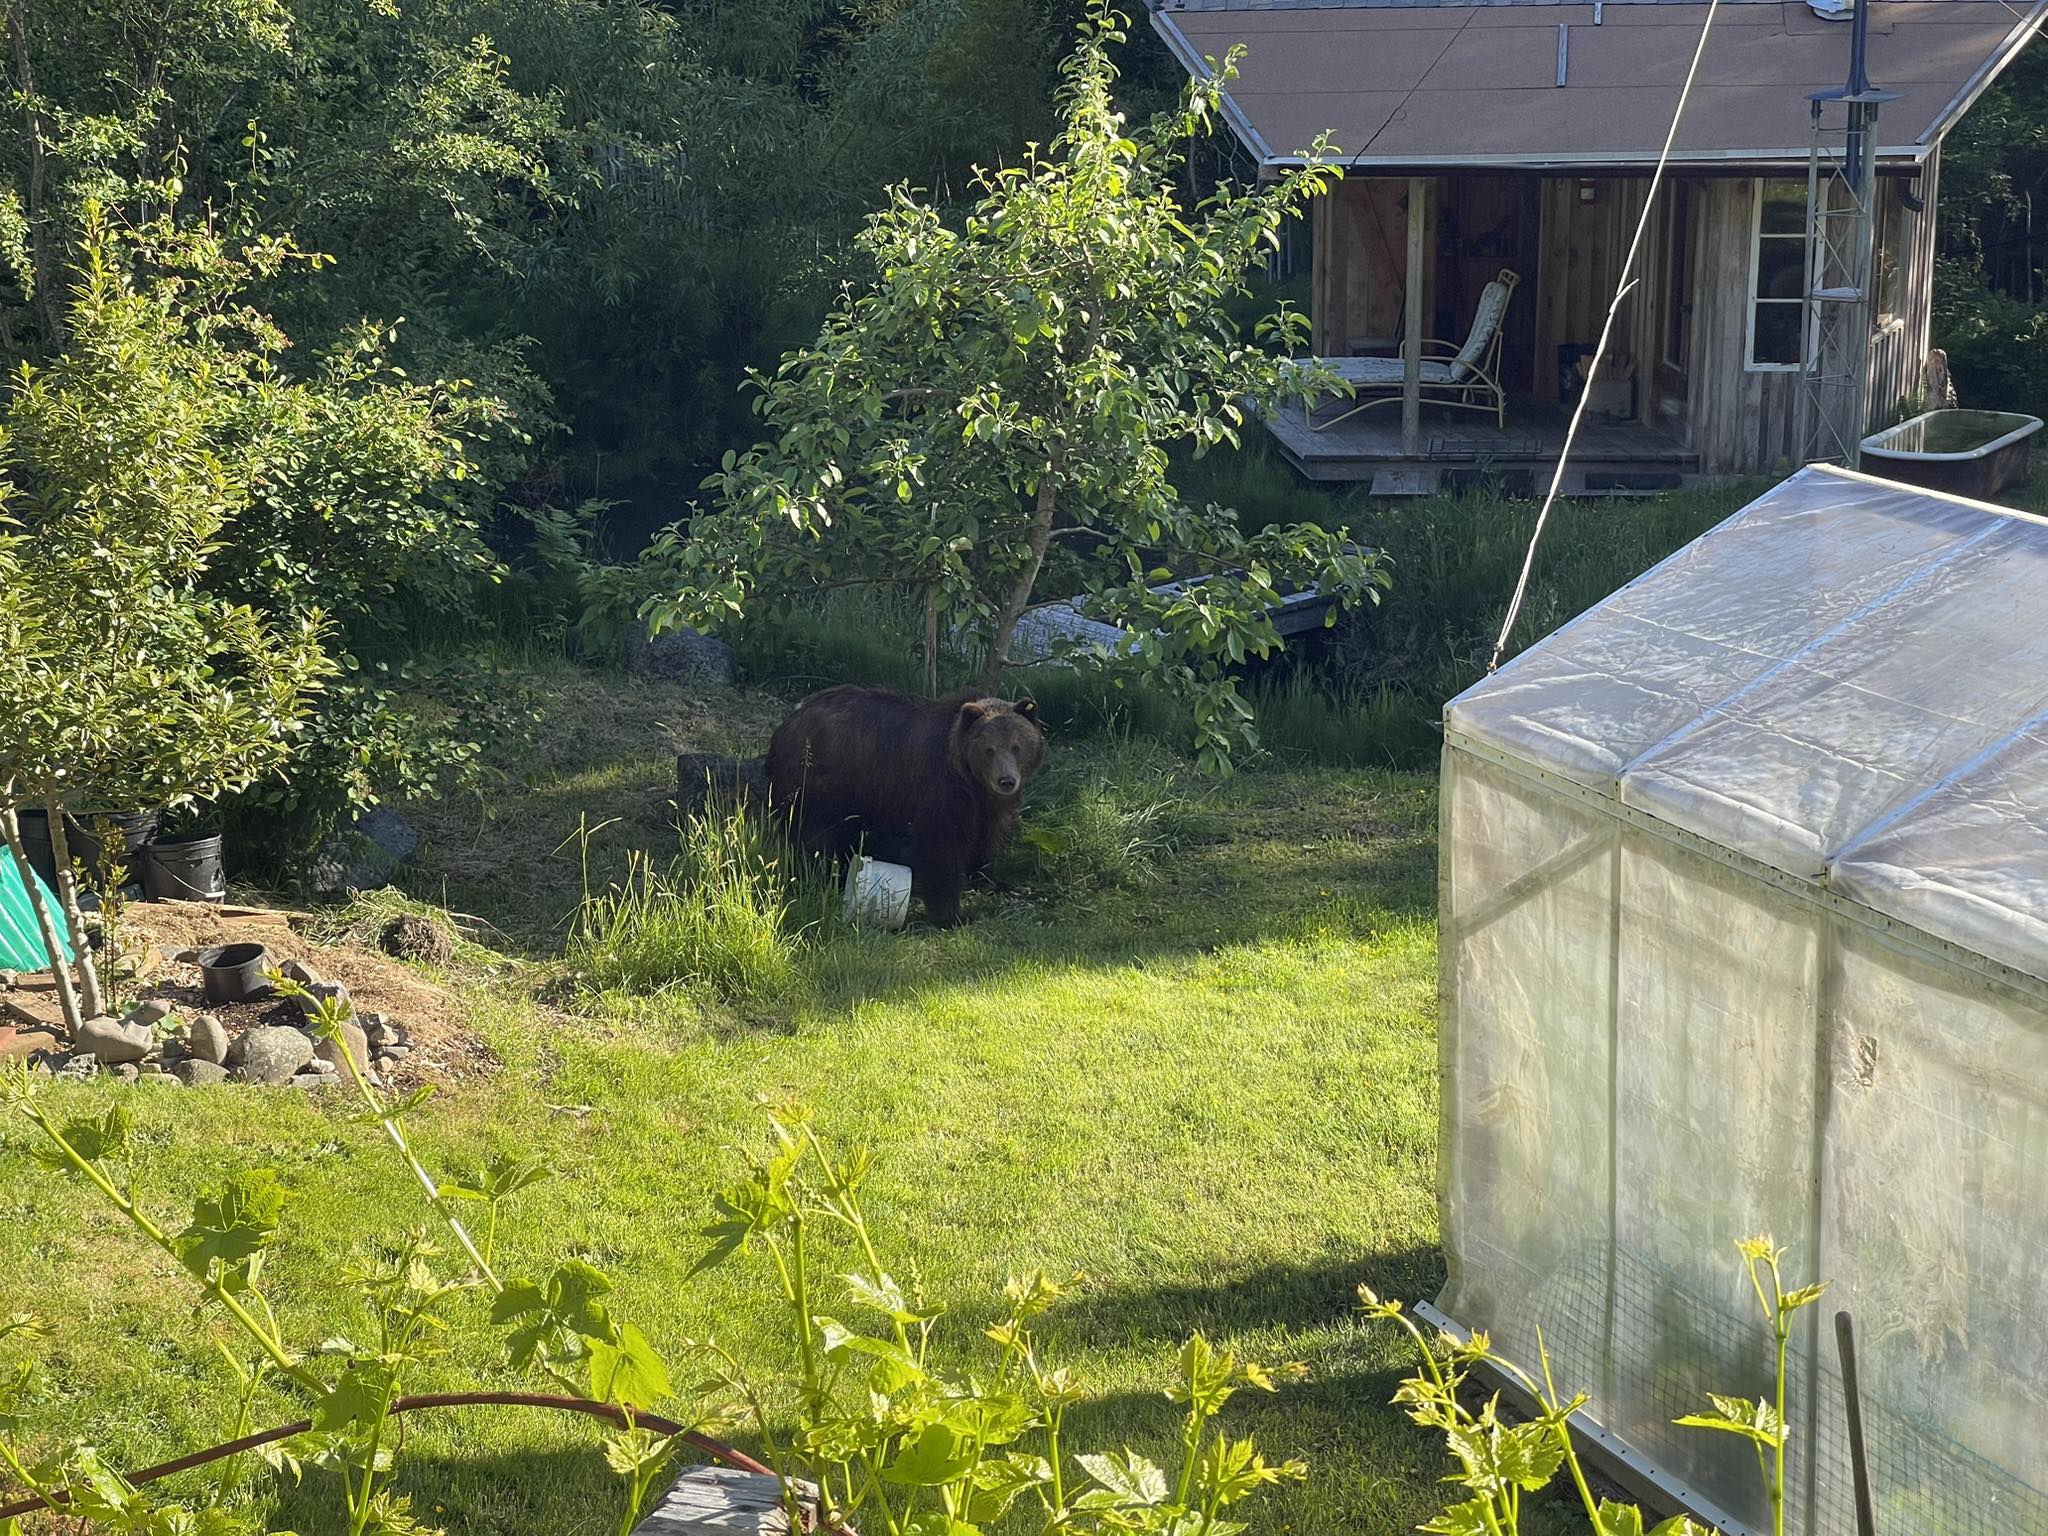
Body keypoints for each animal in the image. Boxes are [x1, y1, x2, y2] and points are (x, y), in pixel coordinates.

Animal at [765, 684, 1046, 927]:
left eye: (1016, 747)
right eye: (989, 749)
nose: (1006, 780)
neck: (971, 781)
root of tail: (785, 726)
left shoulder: (989, 806)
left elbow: (989, 837)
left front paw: (992, 881)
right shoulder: (942, 790)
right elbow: (942, 846)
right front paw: (952, 915)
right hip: (822, 785)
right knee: (816, 838)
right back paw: (817, 878)